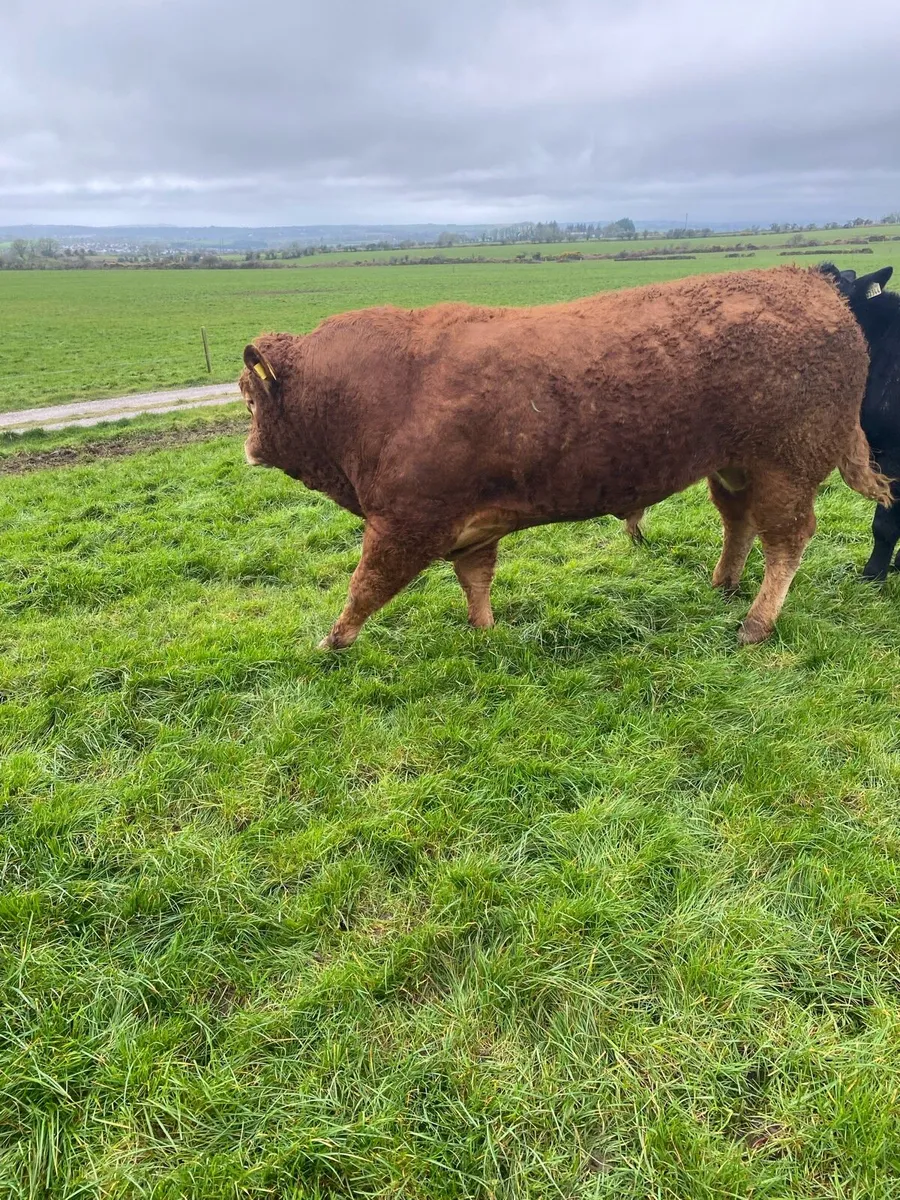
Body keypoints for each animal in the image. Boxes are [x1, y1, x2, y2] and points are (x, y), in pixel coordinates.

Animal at [240, 266, 890, 651]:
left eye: (248, 398)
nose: (247, 447)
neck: (366, 394)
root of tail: (811, 284)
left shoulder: (407, 522)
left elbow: (366, 586)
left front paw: (333, 641)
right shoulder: (469, 526)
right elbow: (475, 579)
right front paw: (485, 633)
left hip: (789, 466)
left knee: (788, 538)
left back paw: (755, 623)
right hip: (733, 467)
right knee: (739, 522)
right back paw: (723, 585)